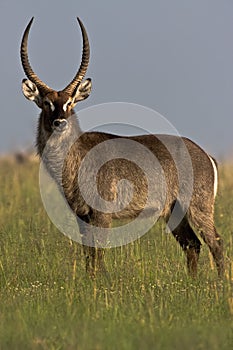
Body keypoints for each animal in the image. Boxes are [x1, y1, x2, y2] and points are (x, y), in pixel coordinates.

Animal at [20, 17, 224, 278]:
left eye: (70, 103)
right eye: (46, 103)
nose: (60, 122)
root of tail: (206, 154)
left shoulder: (102, 214)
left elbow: (98, 254)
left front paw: (95, 284)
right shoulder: (81, 215)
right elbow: (88, 254)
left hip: (198, 206)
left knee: (215, 243)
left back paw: (218, 285)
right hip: (172, 211)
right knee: (193, 244)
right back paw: (193, 283)